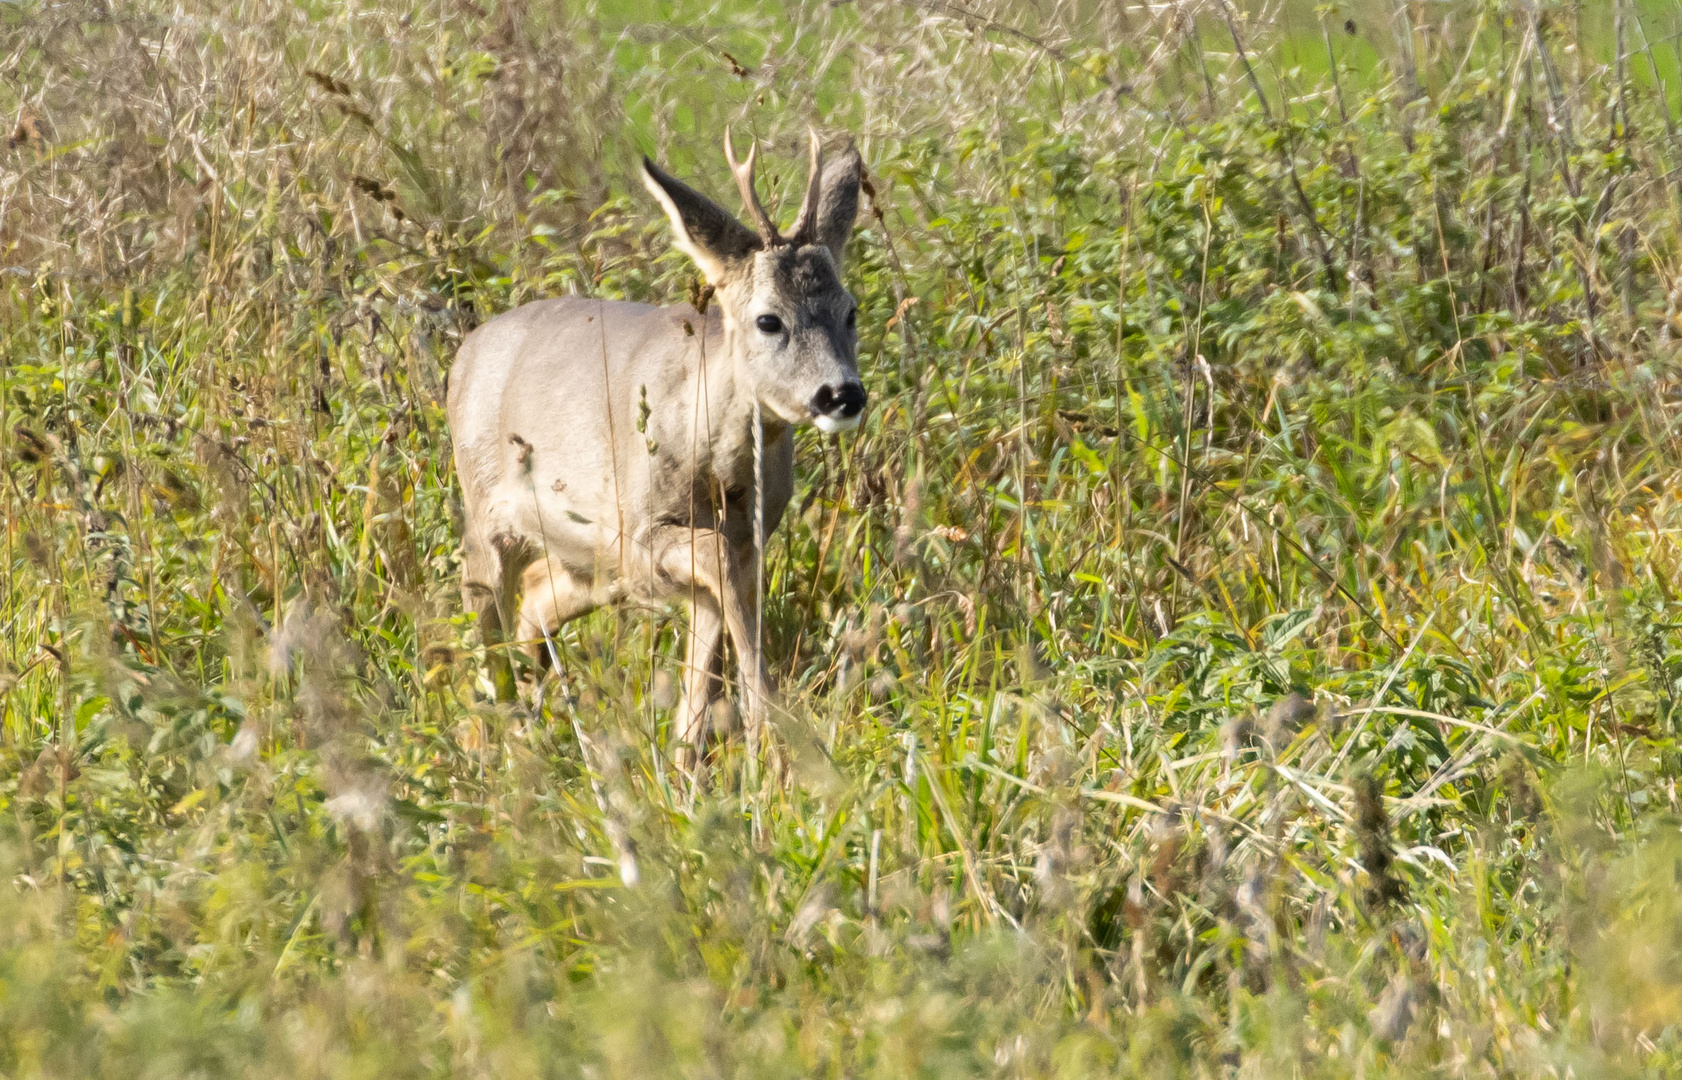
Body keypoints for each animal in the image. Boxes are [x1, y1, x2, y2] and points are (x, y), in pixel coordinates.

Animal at [447, 132, 867, 767]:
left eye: (851, 311)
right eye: (769, 320)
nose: (841, 393)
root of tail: (464, 353)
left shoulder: (746, 539)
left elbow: (710, 637)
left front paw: (696, 757)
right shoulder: (639, 532)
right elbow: (717, 569)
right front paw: (768, 723)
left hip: (588, 558)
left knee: (536, 598)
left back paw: (535, 723)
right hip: (488, 514)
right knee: (483, 618)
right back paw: (491, 742)